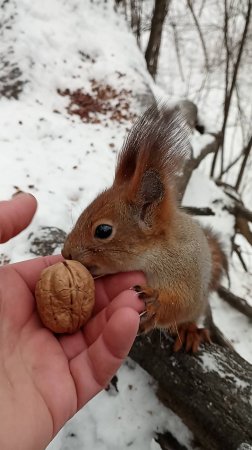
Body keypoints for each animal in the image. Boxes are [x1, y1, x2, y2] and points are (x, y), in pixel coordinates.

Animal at [62, 103, 227, 354]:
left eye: (103, 231)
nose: (65, 253)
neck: (153, 256)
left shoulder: (188, 272)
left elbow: (182, 303)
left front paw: (156, 301)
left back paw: (189, 330)